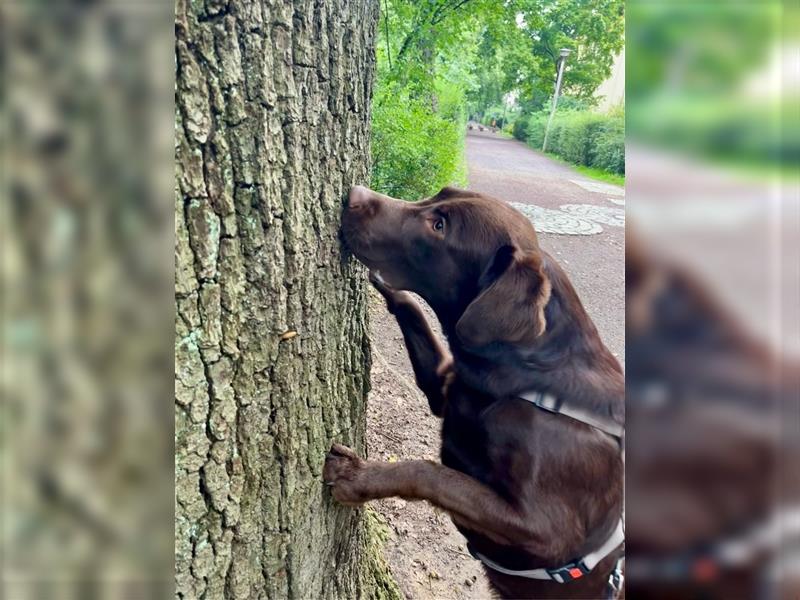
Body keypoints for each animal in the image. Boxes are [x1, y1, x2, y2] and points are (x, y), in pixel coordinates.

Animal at [324, 185, 624, 596]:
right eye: (438, 196)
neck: (531, 377)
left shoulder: (548, 531)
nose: (356, 194)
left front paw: (355, 477)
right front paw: (386, 285)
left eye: (439, 226)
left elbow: (430, 473)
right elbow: (414, 314)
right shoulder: (447, 386)